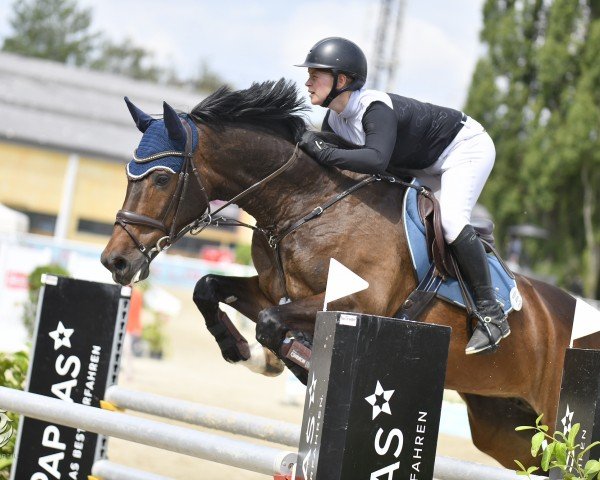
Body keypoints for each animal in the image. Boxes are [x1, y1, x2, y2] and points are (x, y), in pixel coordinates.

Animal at [101, 79, 584, 468]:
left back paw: (491, 324)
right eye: (128, 174)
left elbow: (271, 323)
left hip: (551, 420)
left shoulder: (357, 303)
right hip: (503, 425)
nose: (114, 262)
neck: (302, 204)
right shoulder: (274, 291)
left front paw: (294, 358)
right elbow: (210, 289)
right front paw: (242, 351)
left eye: (161, 179)